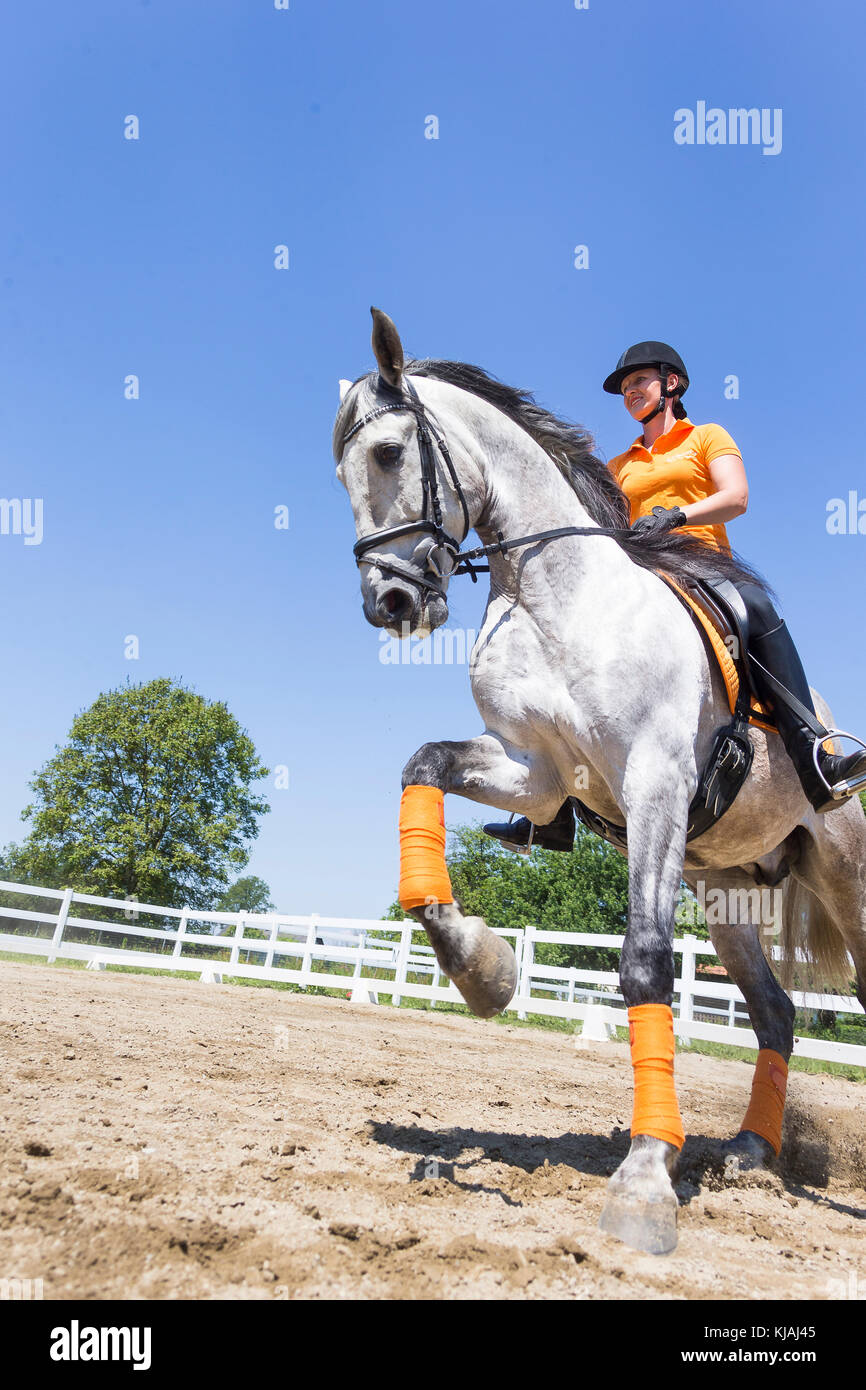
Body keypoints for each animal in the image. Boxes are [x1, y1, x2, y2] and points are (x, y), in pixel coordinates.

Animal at [333, 307, 866, 1262]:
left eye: (390, 453)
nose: (388, 603)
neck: (553, 595)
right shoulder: (535, 774)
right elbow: (422, 768)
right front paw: (479, 968)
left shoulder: (653, 782)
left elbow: (646, 965)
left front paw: (646, 1179)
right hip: (723, 887)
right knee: (774, 1013)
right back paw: (751, 1154)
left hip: (845, 874)